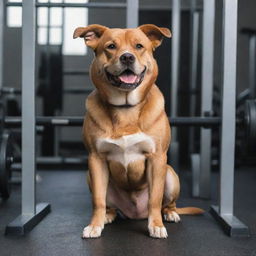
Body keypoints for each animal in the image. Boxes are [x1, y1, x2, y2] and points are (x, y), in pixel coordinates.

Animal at [73, 24, 203, 238]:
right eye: (111, 46)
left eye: (139, 46)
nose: (127, 57)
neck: (125, 109)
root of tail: (134, 213)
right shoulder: (95, 159)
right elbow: (98, 200)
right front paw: (94, 225)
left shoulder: (157, 158)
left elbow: (155, 200)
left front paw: (156, 225)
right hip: (90, 176)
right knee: (109, 205)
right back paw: (108, 215)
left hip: (170, 175)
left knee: (166, 204)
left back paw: (170, 214)